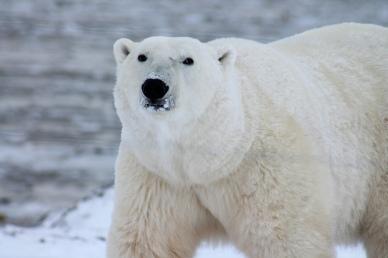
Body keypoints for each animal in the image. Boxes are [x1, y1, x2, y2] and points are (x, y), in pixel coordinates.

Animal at [106, 23, 388, 256]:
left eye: (188, 60)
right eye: (142, 56)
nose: (154, 86)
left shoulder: (266, 168)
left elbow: (286, 238)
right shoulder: (157, 175)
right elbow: (149, 240)